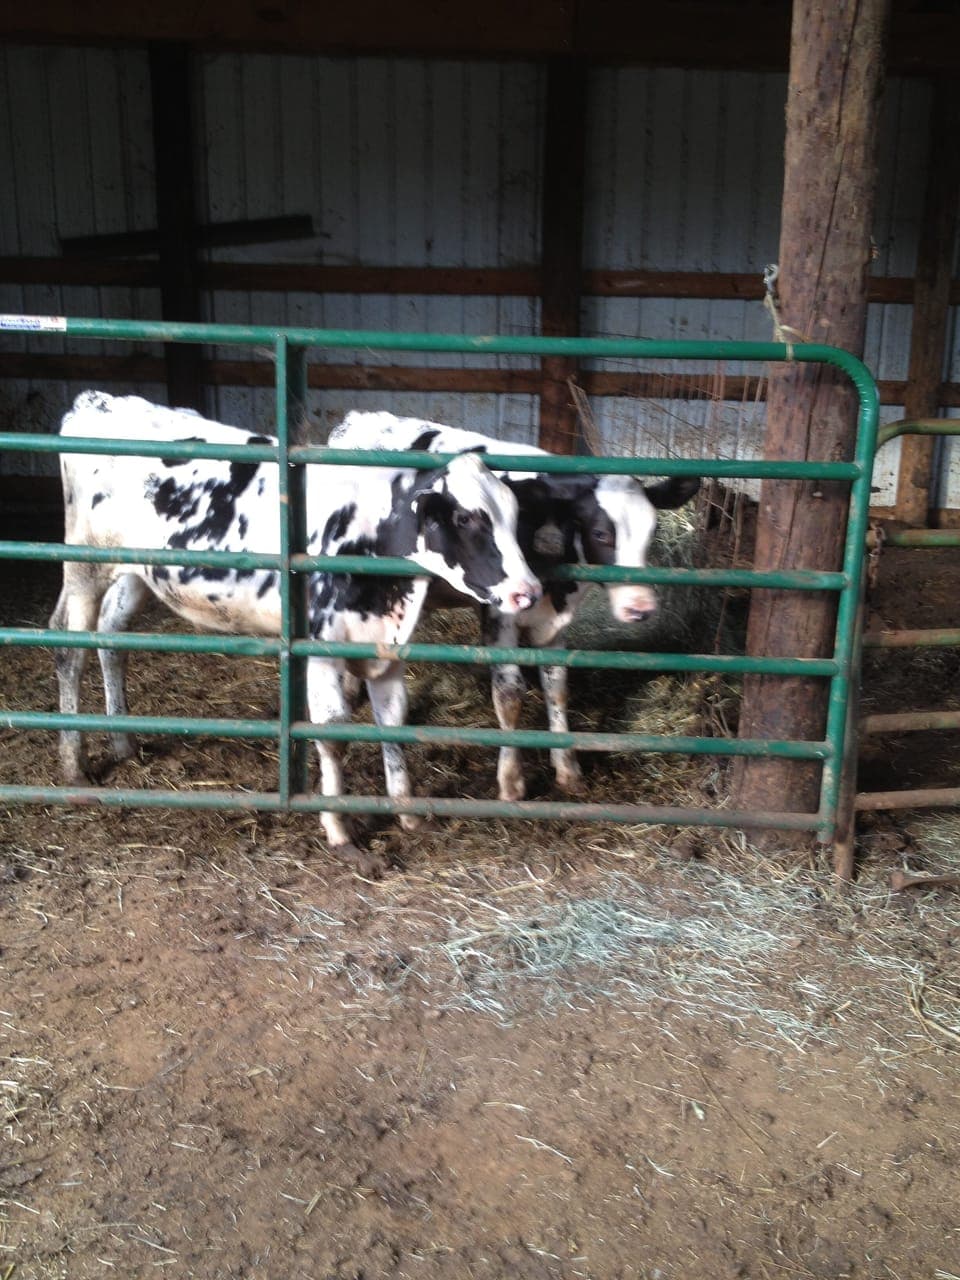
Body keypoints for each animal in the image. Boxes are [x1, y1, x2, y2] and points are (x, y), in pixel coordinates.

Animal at [49, 391, 542, 876]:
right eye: (465, 519)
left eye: (515, 515)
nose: (529, 591)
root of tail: (96, 401)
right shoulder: (322, 649)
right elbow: (334, 732)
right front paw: (342, 833)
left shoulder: (384, 646)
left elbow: (394, 723)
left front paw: (408, 813)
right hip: (84, 566)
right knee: (68, 649)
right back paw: (74, 765)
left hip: (136, 573)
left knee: (110, 637)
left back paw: (122, 741)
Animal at [330, 410, 700, 804]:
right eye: (602, 533)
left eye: (653, 530)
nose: (639, 606)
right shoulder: (500, 615)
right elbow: (509, 694)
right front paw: (511, 781)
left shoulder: (554, 623)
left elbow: (557, 686)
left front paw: (567, 769)